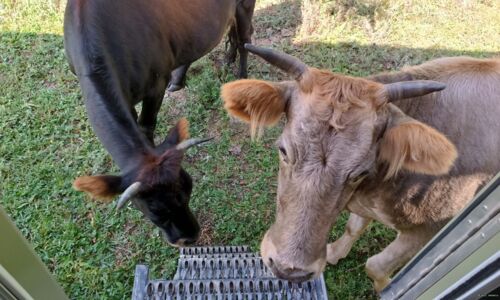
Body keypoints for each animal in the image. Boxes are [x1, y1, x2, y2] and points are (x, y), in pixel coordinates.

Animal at [222, 45, 500, 292]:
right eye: (283, 150)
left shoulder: (432, 227)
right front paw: (334, 252)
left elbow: (375, 265)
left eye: (360, 172)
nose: (290, 270)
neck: (378, 190)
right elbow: (353, 227)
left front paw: (385, 287)